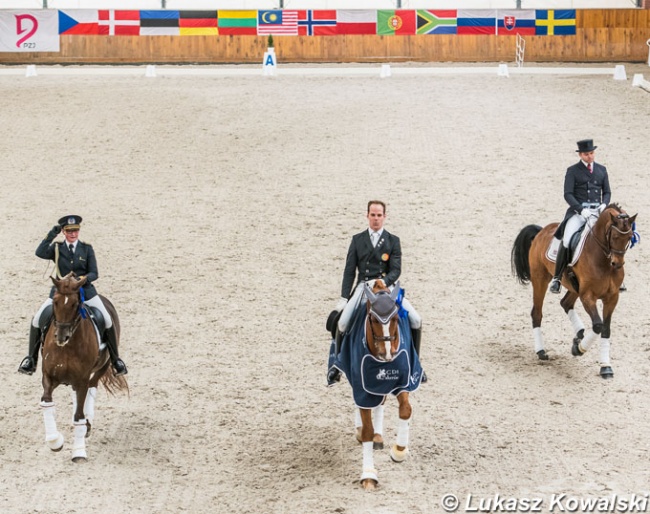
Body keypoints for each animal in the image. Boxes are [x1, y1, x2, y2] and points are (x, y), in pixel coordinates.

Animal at [40, 272, 128, 460]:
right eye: (55, 301)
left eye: (75, 304)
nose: (62, 336)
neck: (67, 347)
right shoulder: (48, 377)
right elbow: (47, 403)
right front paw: (55, 441)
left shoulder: (81, 379)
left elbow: (79, 416)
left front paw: (79, 451)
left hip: (103, 366)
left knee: (92, 387)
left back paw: (88, 421)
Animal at [326, 280, 418, 488]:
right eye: (373, 320)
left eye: (395, 318)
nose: (387, 354)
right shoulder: (363, 386)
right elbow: (366, 427)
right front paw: (368, 475)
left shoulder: (402, 381)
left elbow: (405, 410)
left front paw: (399, 451)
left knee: (380, 402)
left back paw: (379, 435)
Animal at [508, 203, 636, 376]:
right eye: (615, 237)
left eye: (629, 237)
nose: (617, 264)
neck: (603, 260)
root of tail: (541, 231)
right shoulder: (588, 296)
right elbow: (598, 325)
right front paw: (579, 349)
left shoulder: (612, 297)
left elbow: (606, 329)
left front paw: (605, 366)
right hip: (540, 279)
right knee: (537, 313)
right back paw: (541, 351)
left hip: (574, 287)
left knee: (565, 303)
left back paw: (579, 332)